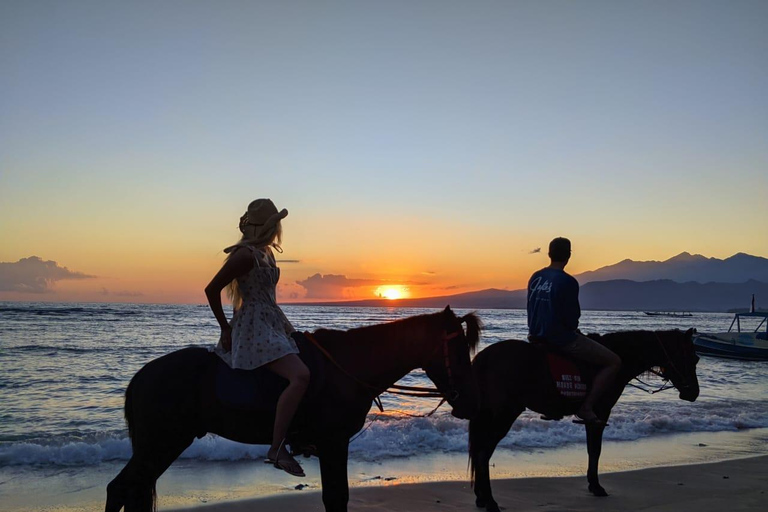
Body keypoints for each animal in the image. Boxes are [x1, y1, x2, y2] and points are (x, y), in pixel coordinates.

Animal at [108, 306, 480, 512]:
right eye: (459, 350)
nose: (467, 401)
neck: (349, 365)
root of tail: (141, 377)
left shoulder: (333, 446)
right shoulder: (333, 444)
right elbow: (336, 498)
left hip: (162, 446)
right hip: (161, 444)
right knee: (119, 489)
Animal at [468, 328, 704, 512]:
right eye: (694, 358)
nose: (693, 393)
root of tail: (484, 358)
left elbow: (592, 449)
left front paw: (593, 484)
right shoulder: (600, 413)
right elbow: (595, 449)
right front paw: (596, 486)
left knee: (480, 450)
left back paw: (481, 497)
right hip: (505, 413)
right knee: (484, 452)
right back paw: (489, 501)